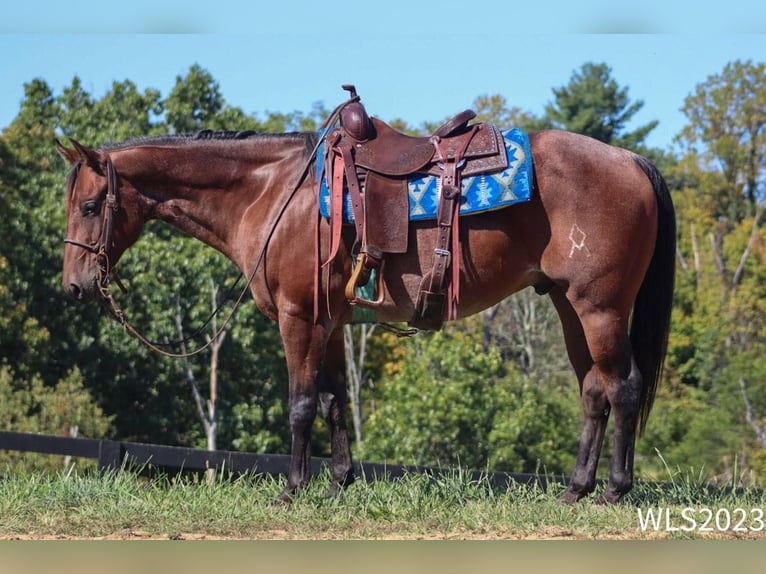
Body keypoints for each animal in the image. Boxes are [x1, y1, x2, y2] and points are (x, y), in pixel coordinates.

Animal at [57, 111, 676, 504]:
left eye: (89, 206)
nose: (75, 287)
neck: (272, 193)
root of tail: (632, 160)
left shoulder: (299, 316)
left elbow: (301, 404)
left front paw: (294, 489)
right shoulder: (329, 323)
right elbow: (335, 402)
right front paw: (339, 481)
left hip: (600, 308)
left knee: (622, 387)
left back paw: (614, 491)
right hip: (570, 307)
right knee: (594, 391)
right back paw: (576, 488)